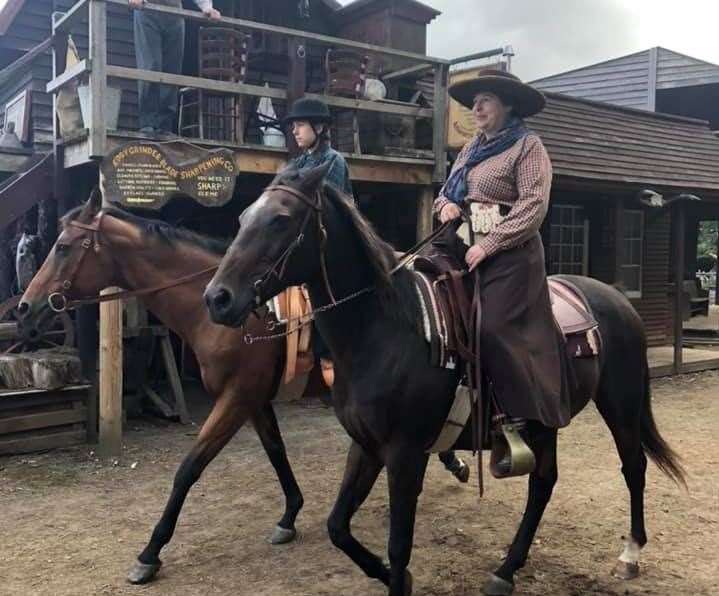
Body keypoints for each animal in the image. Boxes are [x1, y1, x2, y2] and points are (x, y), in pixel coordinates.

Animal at [16, 190, 472, 588]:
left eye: (63, 247)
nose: (24, 307)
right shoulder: (253, 401)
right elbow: (275, 452)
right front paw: (289, 516)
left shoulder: (235, 399)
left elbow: (190, 468)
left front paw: (150, 553)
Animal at [204, 164, 688, 596]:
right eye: (244, 217)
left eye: (281, 219)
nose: (217, 298)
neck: (385, 329)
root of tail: (616, 300)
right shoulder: (366, 445)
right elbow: (337, 527)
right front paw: (387, 574)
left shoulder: (405, 454)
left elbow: (399, 546)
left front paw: (397, 577)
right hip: (544, 420)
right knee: (543, 483)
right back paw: (506, 570)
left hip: (620, 404)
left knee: (633, 466)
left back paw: (630, 555)